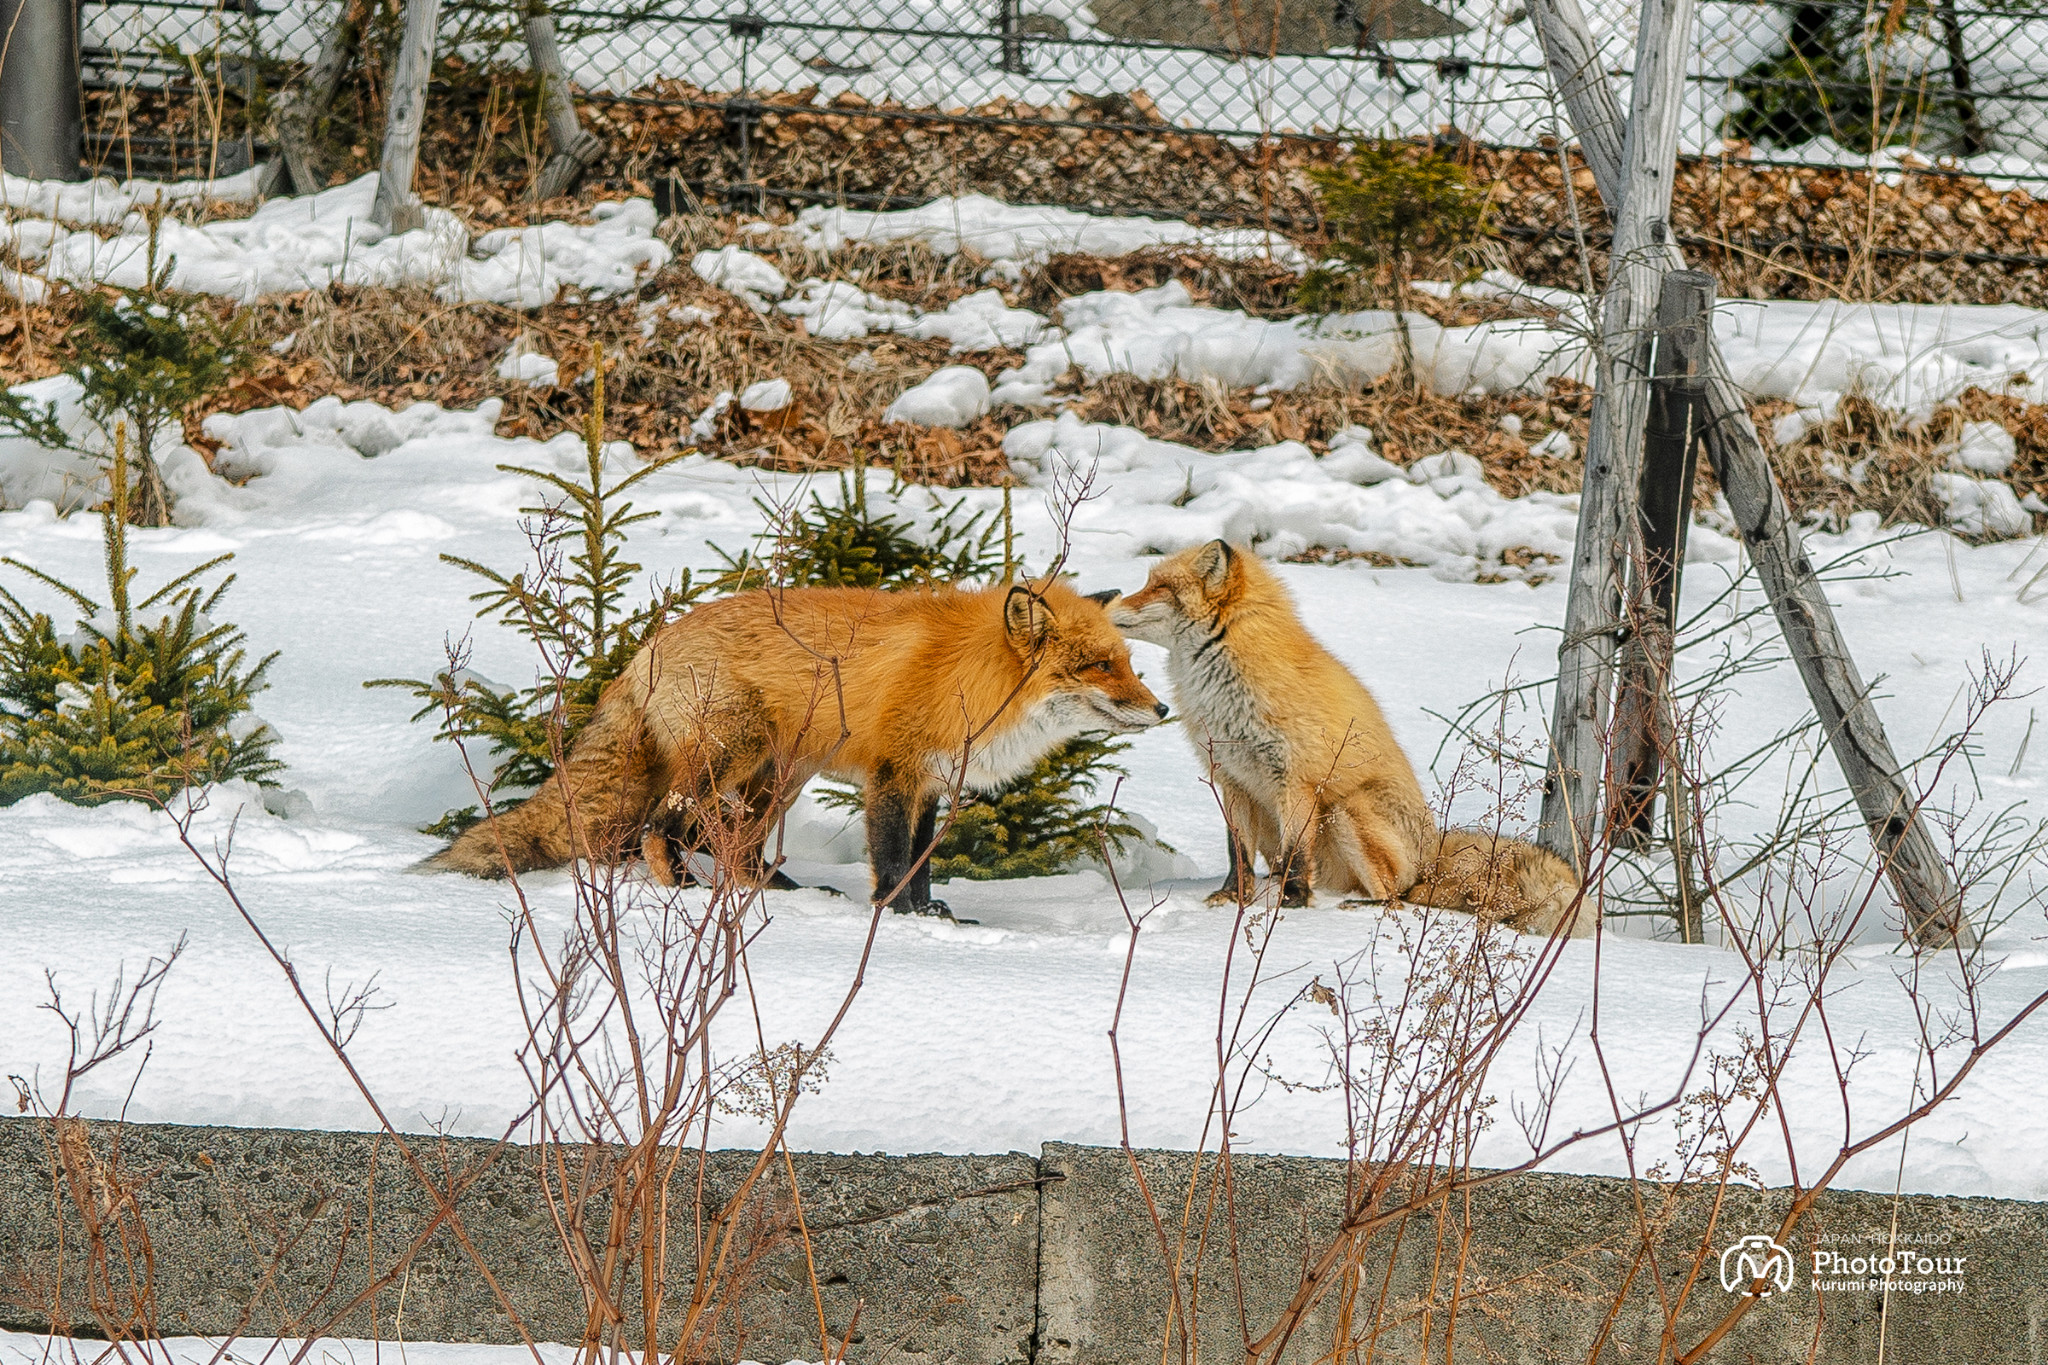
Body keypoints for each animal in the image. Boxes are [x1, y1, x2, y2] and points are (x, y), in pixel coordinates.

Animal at [432, 581, 1171, 916]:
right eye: (1100, 666)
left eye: (1129, 663)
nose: (1163, 709)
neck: (970, 678)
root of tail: (648, 646)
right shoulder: (893, 774)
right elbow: (893, 858)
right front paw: (898, 916)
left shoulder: (932, 782)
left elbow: (923, 861)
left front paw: (930, 912)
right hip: (731, 755)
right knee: (662, 829)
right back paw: (685, 896)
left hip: (779, 775)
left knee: (731, 842)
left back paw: (774, 890)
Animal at [1114, 540, 1589, 941]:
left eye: (1158, 587)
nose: (1111, 600)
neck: (1227, 688)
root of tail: (1429, 858)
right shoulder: (1231, 778)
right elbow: (1238, 853)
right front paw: (1233, 900)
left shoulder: (1297, 781)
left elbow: (1296, 857)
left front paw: (1290, 906)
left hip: (1348, 809)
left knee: (1397, 898)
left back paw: (1362, 907)